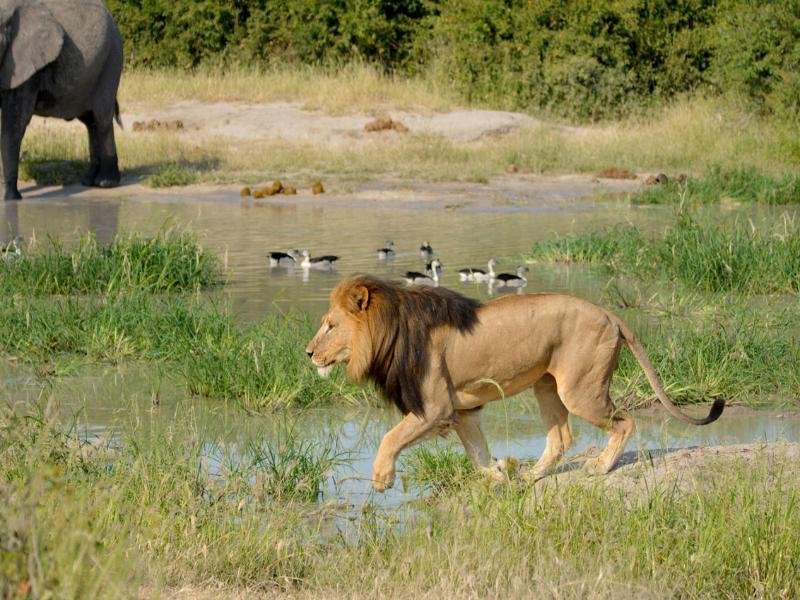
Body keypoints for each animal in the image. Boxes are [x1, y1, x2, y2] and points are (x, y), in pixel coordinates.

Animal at [0, 0, 122, 202]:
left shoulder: (24, 64)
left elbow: (13, 124)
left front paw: (10, 198)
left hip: (112, 59)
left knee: (102, 119)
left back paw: (106, 183)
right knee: (91, 121)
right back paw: (89, 182)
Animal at [306, 276, 724, 492]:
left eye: (330, 325)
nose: (308, 353)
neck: (391, 331)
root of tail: (610, 313)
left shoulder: (435, 406)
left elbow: (389, 437)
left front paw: (381, 478)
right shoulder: (462, 410)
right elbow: (476, 455)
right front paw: (501, 472)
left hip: (580, 390)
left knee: (624, 422)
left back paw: (601, 467)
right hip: (547, 386)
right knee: (561, 440)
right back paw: (530, 476)